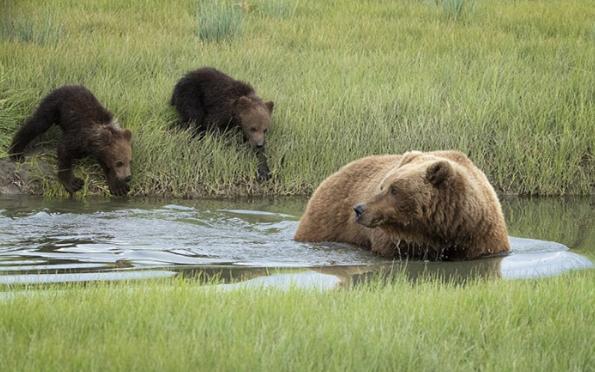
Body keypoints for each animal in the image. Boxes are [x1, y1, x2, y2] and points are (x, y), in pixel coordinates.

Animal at [296, 150, 510, 260]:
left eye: (394, 189)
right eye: (382, 185)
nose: (359, 209)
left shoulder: (481, 236)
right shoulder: (394, 241)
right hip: (326, 220)